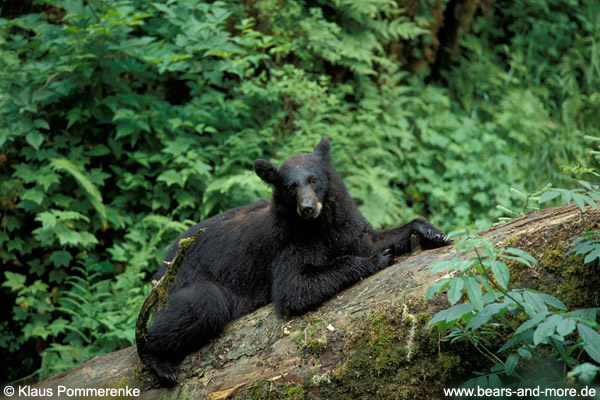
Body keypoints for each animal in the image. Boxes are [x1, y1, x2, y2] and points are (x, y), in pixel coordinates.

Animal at [138, 137, 448, 382]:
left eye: (314, 179)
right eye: (290, 187)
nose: (308, 208)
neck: (318, 225)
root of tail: (163, 267)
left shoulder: (342, 222)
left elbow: (368, 238)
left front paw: (431, 231)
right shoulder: (289, 242)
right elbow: (293, 287)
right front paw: (375, 260)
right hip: (186, 282)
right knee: (203, 304)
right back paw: (159, 361)